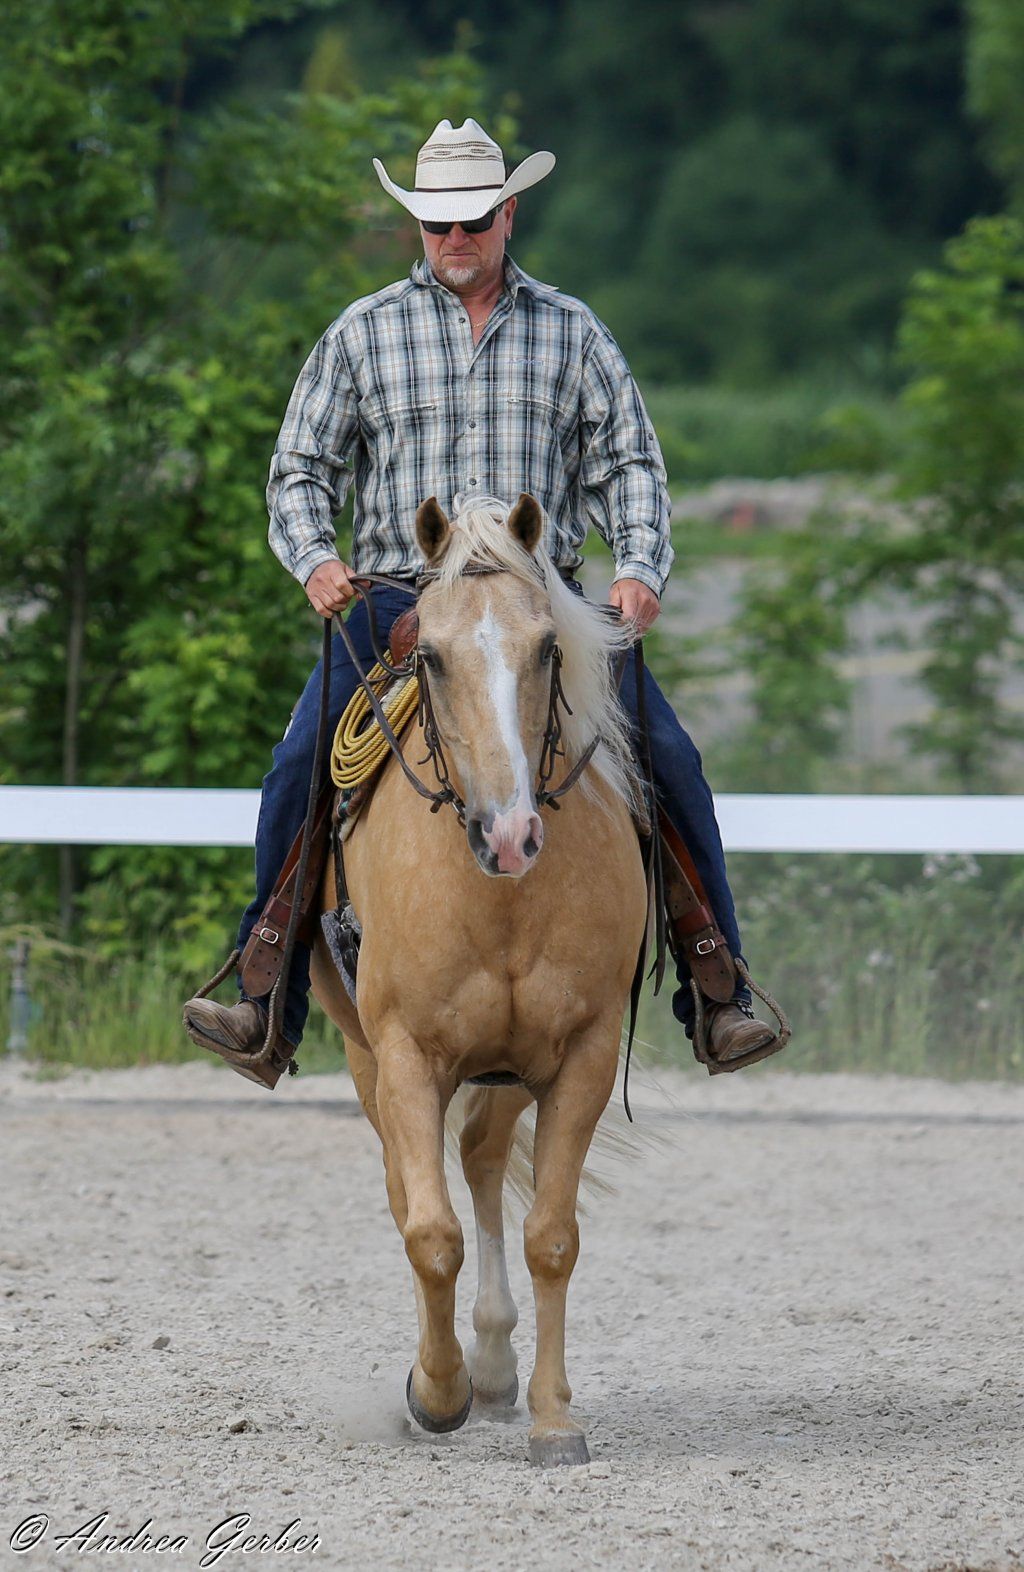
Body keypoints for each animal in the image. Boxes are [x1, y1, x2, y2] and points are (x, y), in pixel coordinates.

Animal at [309, 492, 648, 1468]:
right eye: (429, 654)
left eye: (547, 648)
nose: (509, 833)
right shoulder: (406, 1054)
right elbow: (430, 1233)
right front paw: (436, 1391)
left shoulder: (580, 1055)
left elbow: (552, 1238)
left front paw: (552, 1417)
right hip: (369, 1058)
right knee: (413, 1185)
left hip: (505, 1066)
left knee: (485, 1161)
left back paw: (496, 1364)